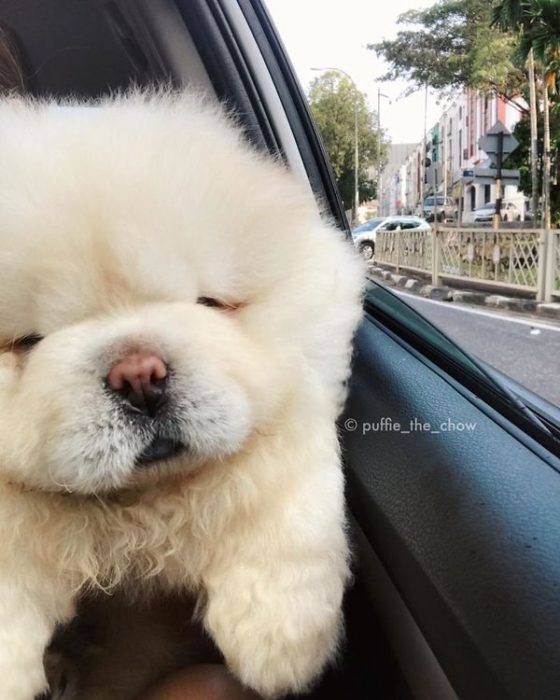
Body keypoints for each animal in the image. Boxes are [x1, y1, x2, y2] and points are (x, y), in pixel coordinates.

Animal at [0, 90, 364, 696]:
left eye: (209, 304)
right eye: (28, 341)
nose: (139, 375)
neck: (140, 507)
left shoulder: (299, 377)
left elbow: (285, 485)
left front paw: (278, 640)